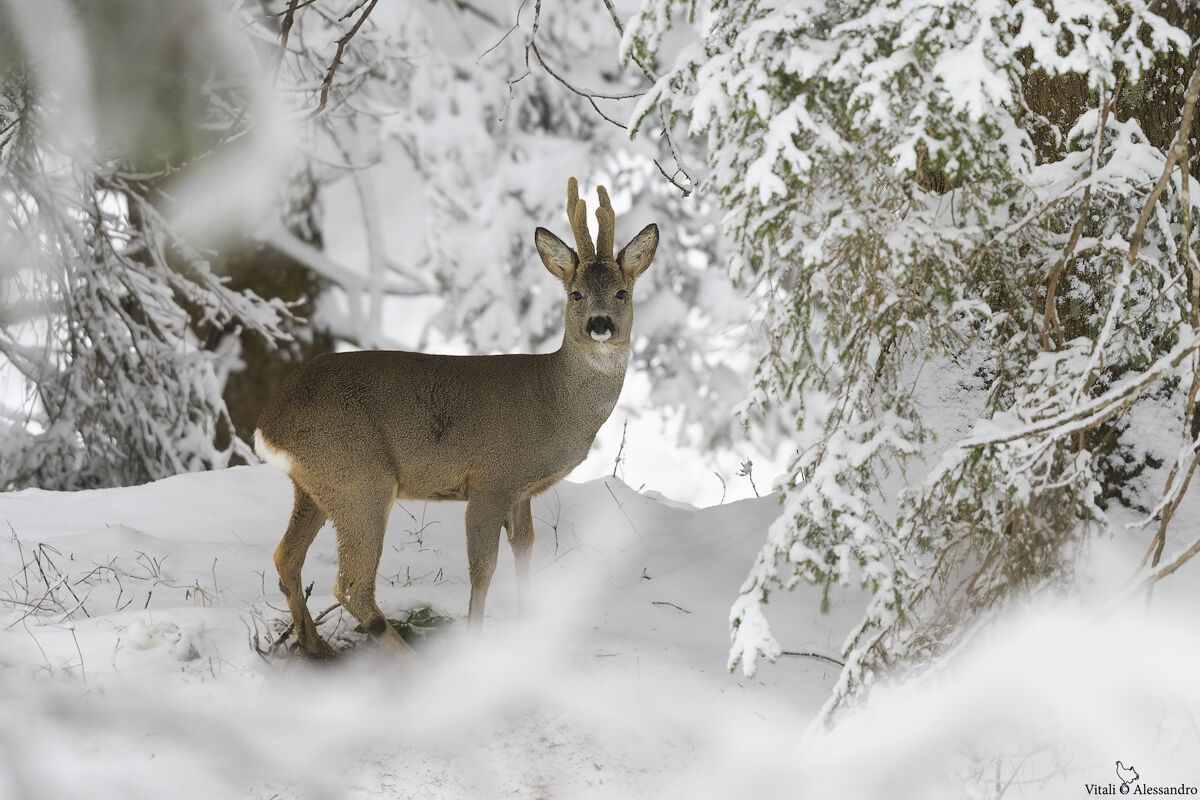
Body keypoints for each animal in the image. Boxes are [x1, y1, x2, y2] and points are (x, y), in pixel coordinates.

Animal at [254, 177, 659, 657]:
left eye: (622, 292)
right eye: (575, 294)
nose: (600, 324)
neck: (554, 402)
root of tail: (268, 426)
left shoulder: (520, 491)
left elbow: (525, 551)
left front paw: (527, 625)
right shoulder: (491, 480)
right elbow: (483, 569)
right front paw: (474, 643)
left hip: (316, 486)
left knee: (286, 557)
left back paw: (318, 650)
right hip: (360, 477)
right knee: (351, 586)